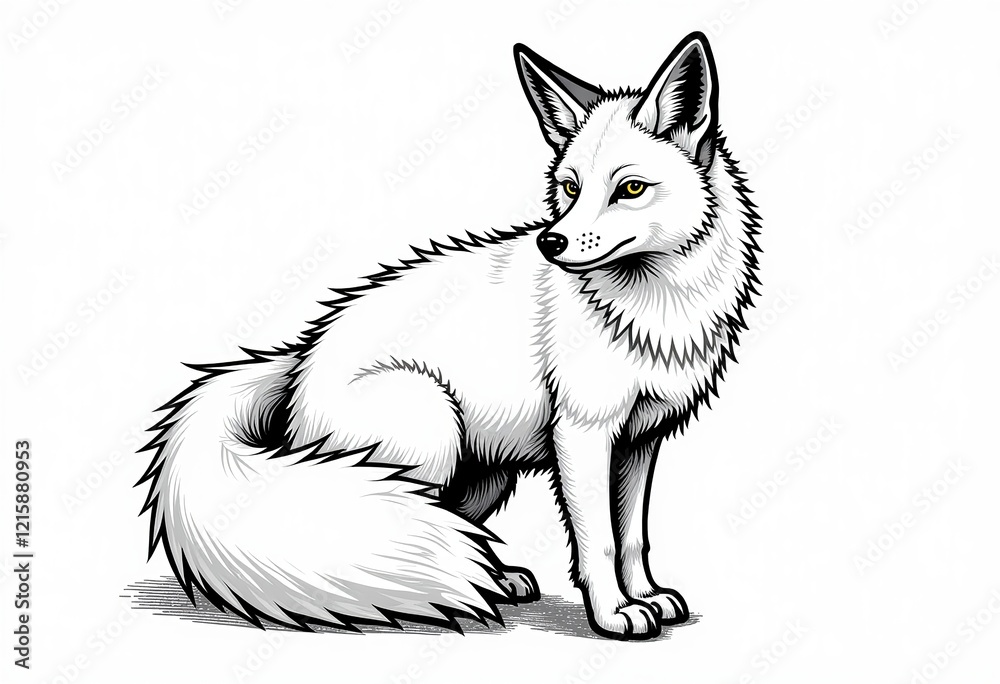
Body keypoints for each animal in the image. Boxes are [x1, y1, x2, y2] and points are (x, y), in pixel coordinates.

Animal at [137, 31, 761, 640]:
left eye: (630, 189)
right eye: (569, 187)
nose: (551, 243)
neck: (655, 309)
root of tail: (300, 363)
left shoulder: (639, 441)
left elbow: (632, 537)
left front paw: (647, 596)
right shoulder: (583, 433)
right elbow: (599, 542)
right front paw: (612, 615)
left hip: (487, 473)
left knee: (457, 524)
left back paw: (496, 579)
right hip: (430, 431)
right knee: (408, 527)